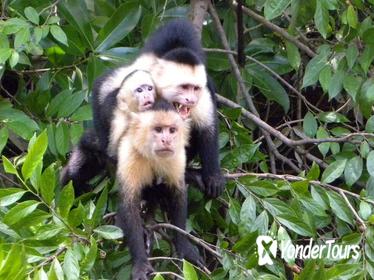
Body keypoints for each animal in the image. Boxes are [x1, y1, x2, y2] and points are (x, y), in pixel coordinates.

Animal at [116, 98, 203, 278]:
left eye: (172, 130)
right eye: (157, 129)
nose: (166, 140)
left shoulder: (176, 155)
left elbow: (178, 194)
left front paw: (184, 247)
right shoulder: (131, 153)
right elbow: (129, 204)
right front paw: (141, 264)